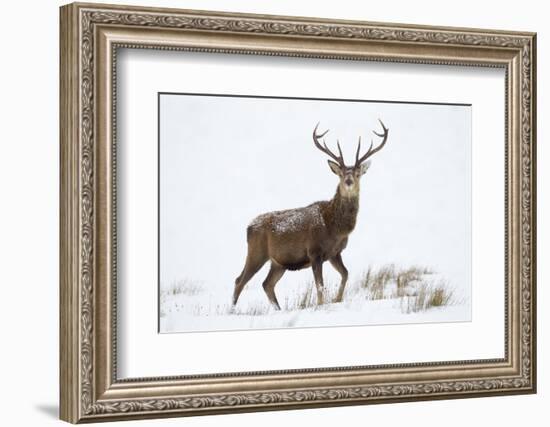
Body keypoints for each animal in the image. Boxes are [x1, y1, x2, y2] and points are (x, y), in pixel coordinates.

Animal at [231, 120, 390, 310]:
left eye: (358, 174)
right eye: (341, 174)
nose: (348, 181)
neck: (334, 228)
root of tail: (248, 227)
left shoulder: (335, 252)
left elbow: (345, 274)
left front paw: (337, 299)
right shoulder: (314, 251)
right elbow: (320, 285)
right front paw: (321, 306)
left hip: (278, 262)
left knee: (267, 284)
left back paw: (278, 309)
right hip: (256, 252)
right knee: (240, 280)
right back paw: (232, 310)